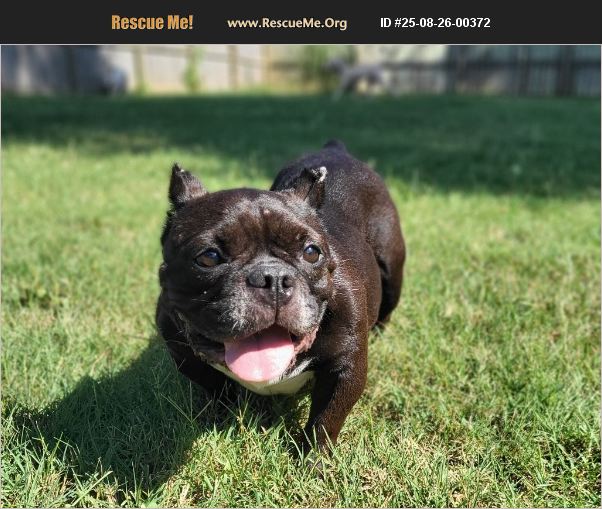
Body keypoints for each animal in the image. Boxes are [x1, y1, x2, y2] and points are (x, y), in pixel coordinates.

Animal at [156, 140, 405, 450]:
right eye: (208, 258)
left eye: (311, 252)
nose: (272, 277)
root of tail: (336, 149)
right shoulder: (183, 351)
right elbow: (217, 389)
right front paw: (220, 421)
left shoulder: (346, 368)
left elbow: (326, 419)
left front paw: (314, 458)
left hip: (392, 271)